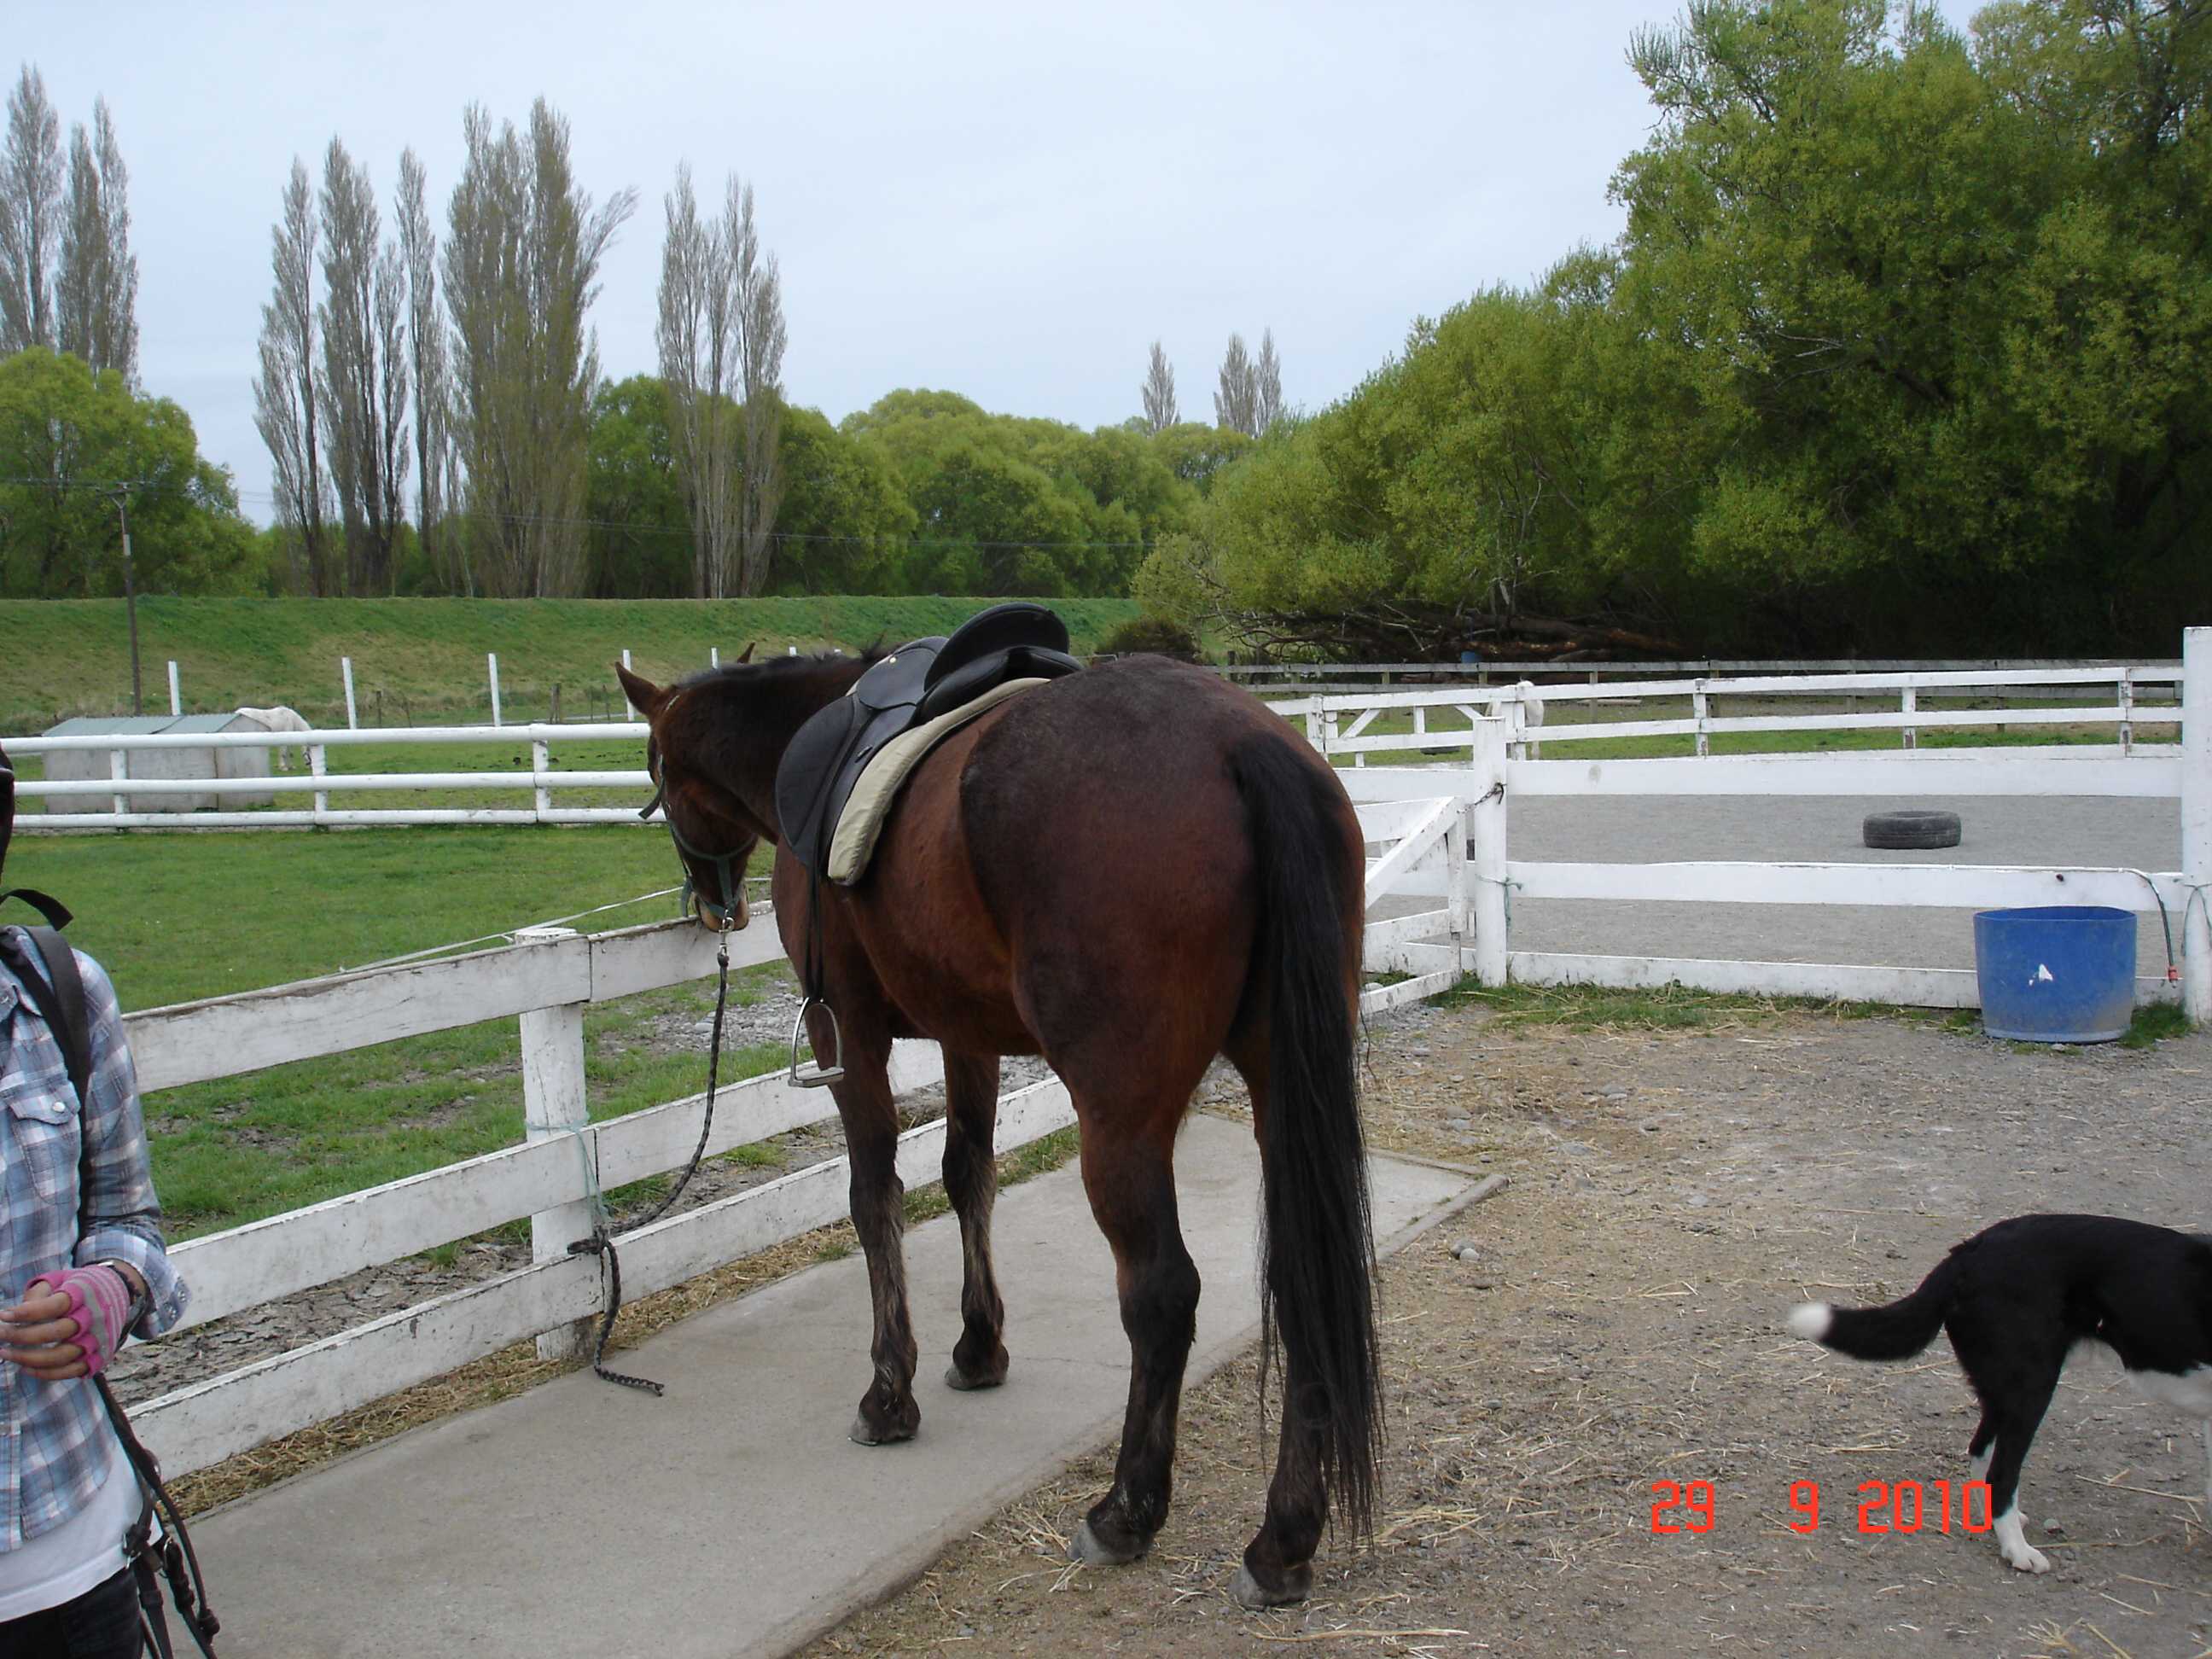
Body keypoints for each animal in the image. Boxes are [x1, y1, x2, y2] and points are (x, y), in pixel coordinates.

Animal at [619, 655, 1380, 1610]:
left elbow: (875, 1197)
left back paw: (1125, 1512)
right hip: (1283, 1090)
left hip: (1121, 1121)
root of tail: (1239, 742)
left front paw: (889, 1394)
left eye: (655, 771)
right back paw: (1282, 1539)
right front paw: (980, 1345)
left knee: (1163, 1293)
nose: (712, 906)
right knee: (1298, 1273)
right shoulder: (965, 1033)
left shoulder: (848, 1035)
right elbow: (966, 1172)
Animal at [1787, 1212, 2212, 1575]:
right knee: (2002, 1472)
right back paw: (2018, 1550)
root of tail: (1969, 1251)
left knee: (1981, 1451)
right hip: (2032, 1386)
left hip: (2006, 1387)